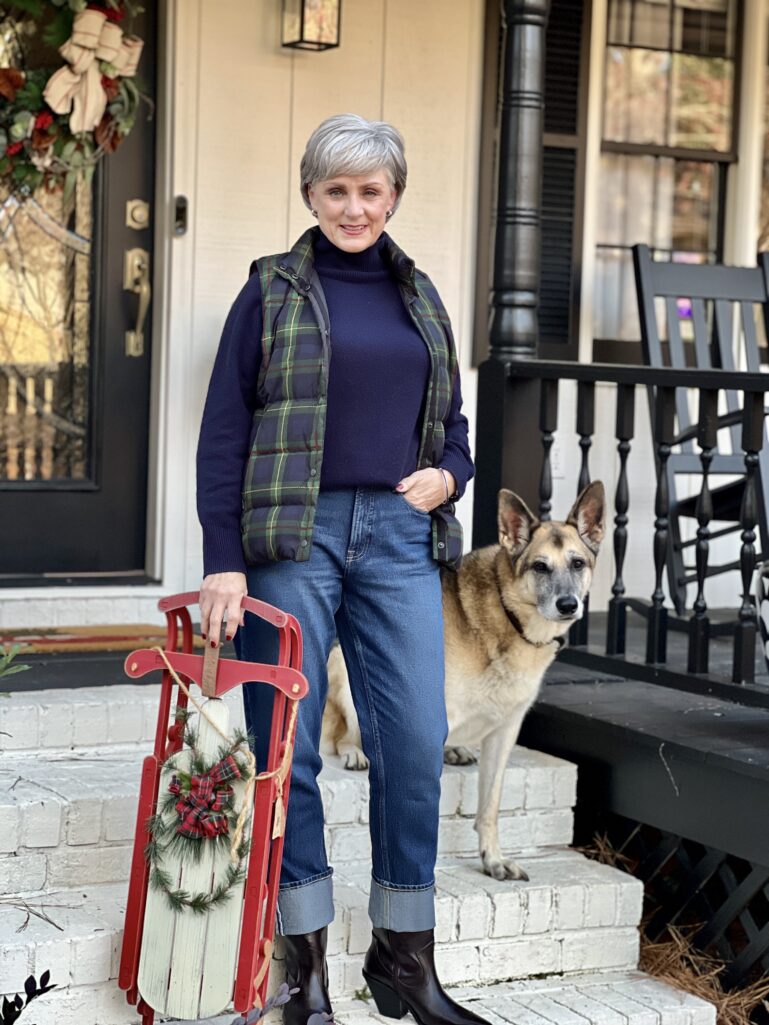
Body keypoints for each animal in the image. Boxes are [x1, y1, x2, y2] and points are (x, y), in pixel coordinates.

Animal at [319, 479, 606, 881]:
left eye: (578, 564)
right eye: (540, 567)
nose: (568, 605)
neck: (510, 616)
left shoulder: (505, 733)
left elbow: (490, 805)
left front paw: (492, 858)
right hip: (346, 667)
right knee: (343, 735)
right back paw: (357, 753)